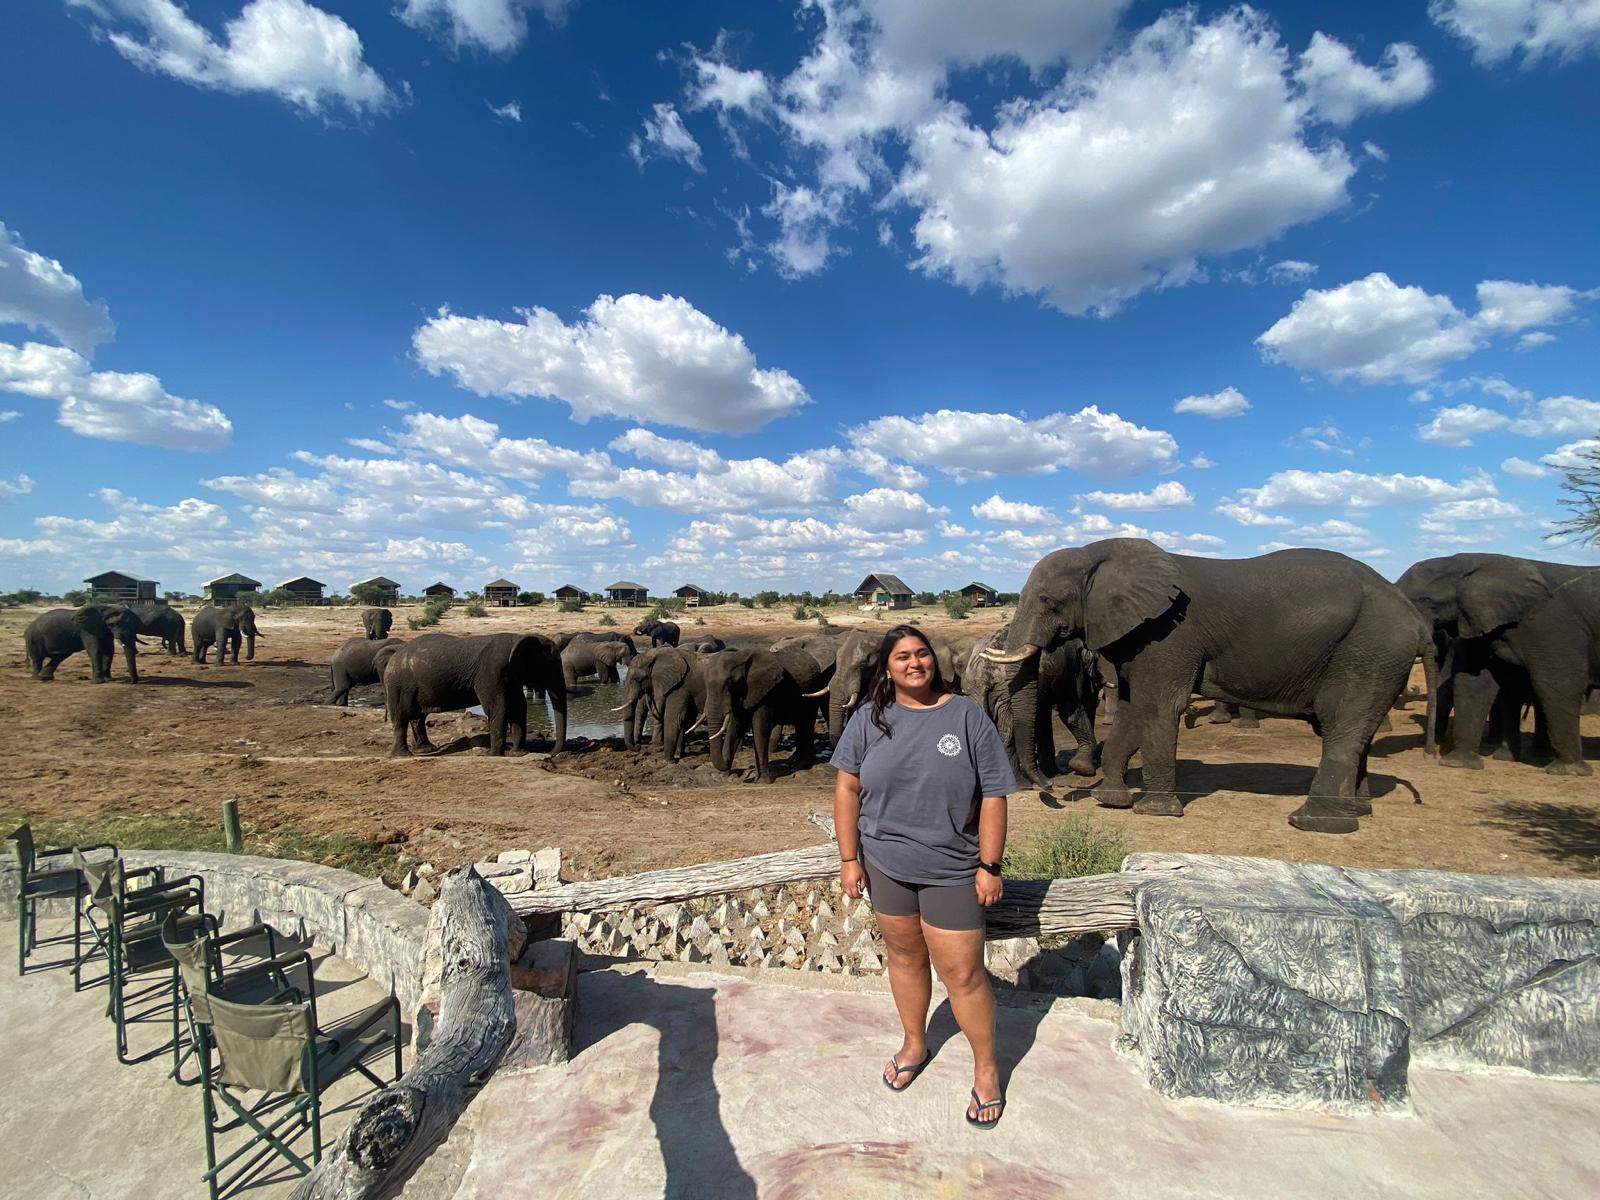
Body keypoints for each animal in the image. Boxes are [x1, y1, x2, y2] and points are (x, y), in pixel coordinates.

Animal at [384, 633, 566, 755]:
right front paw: (495, 755)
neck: (519, 638)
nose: (550, 753)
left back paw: (426, 750)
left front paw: (518, 754)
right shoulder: (491, 672)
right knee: (401, 717)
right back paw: (404, 755)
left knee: (418, 717)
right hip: (398, 685)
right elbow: (498, 707)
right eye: (551, 666)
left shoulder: (510, 676)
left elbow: (519, 706)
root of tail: (392, 658)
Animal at [704, 652, 825, 784]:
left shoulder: (766, 694)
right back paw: (798, 762)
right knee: (801, 725)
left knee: (807, 723)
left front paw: (762, 781)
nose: (748, 770)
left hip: (814, 690)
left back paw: (806, 764)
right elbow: (735, 728)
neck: (742, 656)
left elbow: (760, 729)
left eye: (731, 683)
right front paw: (723, 777)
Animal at [985, 544, 1440, 838]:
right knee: (1356, 728)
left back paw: (1314, 822)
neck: (1100, 551)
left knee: (1342, 724)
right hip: (1378, 655)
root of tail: (1414, 617)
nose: (1053, 791)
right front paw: (1111, 801)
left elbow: (1158, 706)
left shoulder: (1170, 633)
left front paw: (1156, 812)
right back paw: (1358, 809)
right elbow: (1134, 708)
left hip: (1371, 647)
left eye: (1049, 600)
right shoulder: (1139, 636)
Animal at [1395, 556, 1593, 780]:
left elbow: (1559, 683)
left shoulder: (1550, 626)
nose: (1429, 756)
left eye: (1426, 601)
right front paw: (1459, 762)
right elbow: (1474, 683)